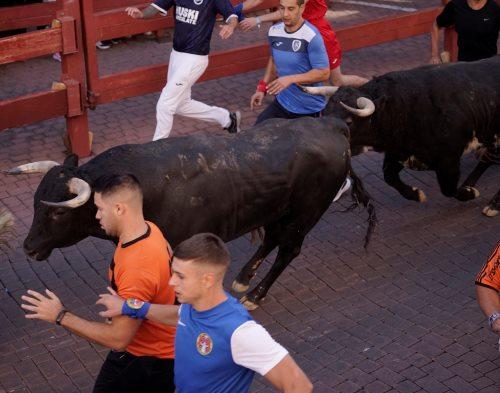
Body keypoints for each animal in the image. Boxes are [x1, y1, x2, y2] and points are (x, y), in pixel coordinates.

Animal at [4, 116, 376, 310]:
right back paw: (243, 278)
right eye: (35, 201)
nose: (28, 247)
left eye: (57, 213)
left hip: (306, 213)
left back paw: (255, 295)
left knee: (289, 249)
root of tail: (332, 126)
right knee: (270, 239)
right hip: (276, 209)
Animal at [302, 54, 498, 217]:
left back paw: (491, 203)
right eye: (324, 114)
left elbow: (448, 189)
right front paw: (416, 194)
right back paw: (472, 187)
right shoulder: (398, 152)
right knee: (487, 159)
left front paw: (469, 193)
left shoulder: (448, 159)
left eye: (349, 121)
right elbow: (389, 177)